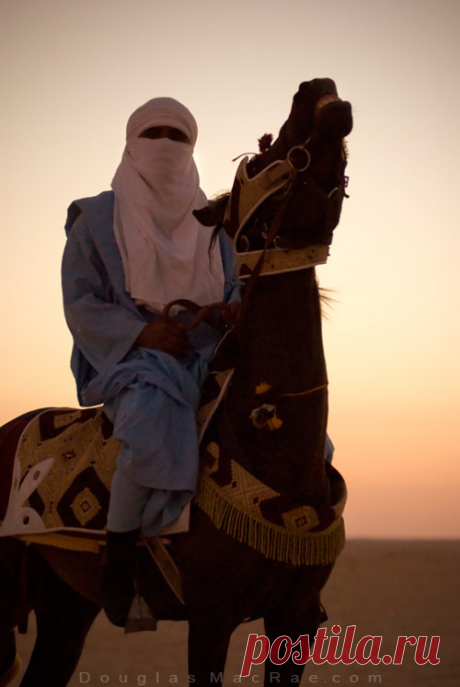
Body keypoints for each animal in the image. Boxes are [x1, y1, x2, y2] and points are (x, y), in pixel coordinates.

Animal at [0, 78, 352, 684]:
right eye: (264, 156)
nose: (316, 88)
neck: (270, 440)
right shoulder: (211, 617)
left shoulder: (298, 617)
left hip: (66, 603)